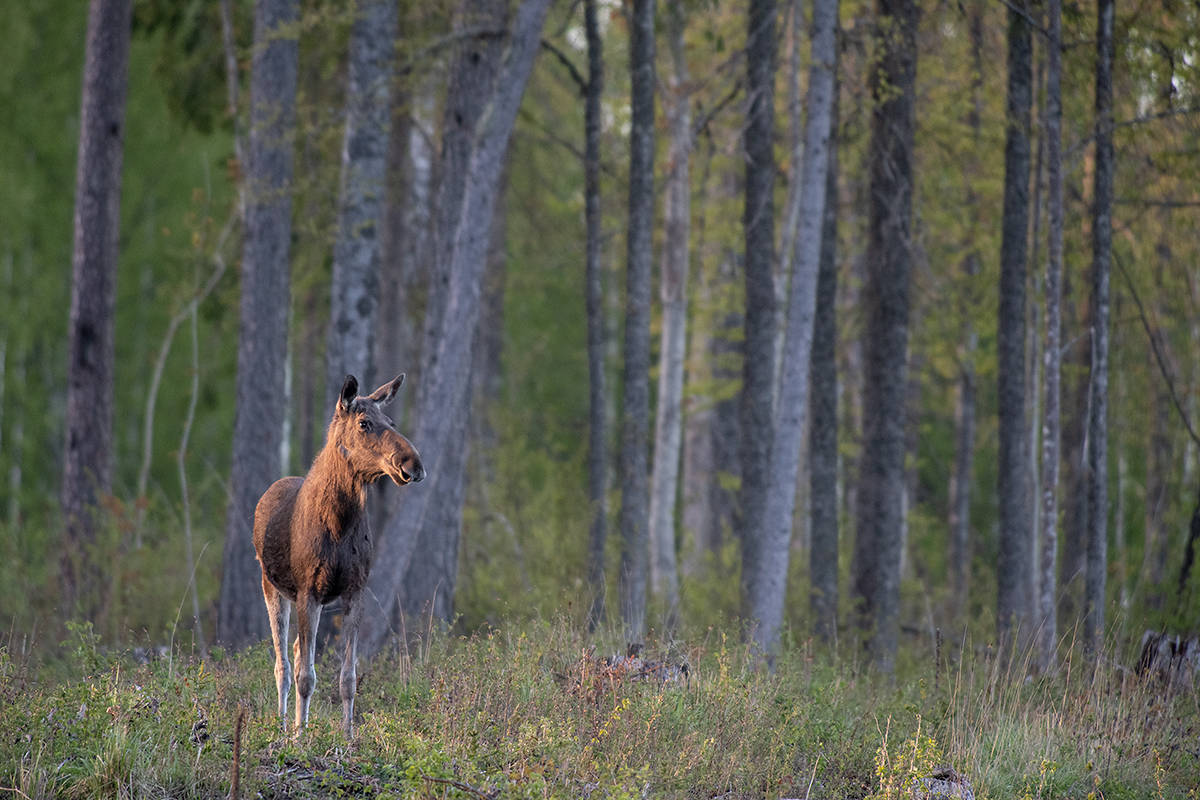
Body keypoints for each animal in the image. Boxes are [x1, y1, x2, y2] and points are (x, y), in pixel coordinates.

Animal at [250, 376, 424, 738]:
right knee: (283, 665)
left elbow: (348, 679)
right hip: (272, 587)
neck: (341, 523)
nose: (413, 465)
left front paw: (348, 737)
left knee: (297, 652)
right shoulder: (308, 592)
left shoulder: (355, 592)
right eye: (364, 423)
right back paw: (283, 727)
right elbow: (305, 676)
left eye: (391, 422)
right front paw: (301, 737)